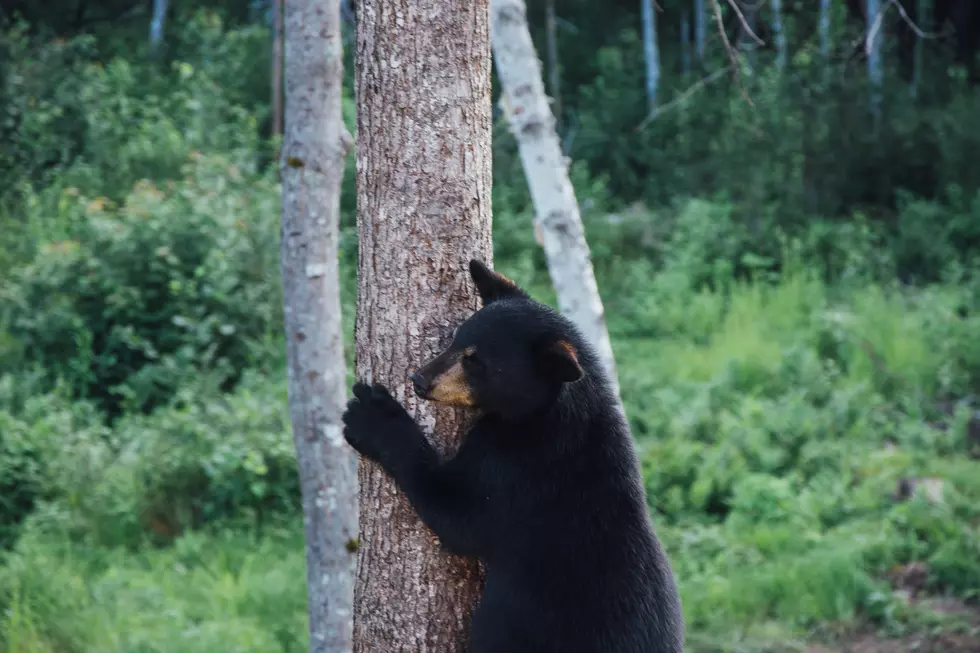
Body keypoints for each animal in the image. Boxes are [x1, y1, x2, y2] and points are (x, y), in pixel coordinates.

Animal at [342, 260, 680, 652]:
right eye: (455, 338)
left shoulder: (519, 471)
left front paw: (372, 416)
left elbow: (458, 513)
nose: (419, 379)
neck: (545, 413)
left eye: (477, 363)